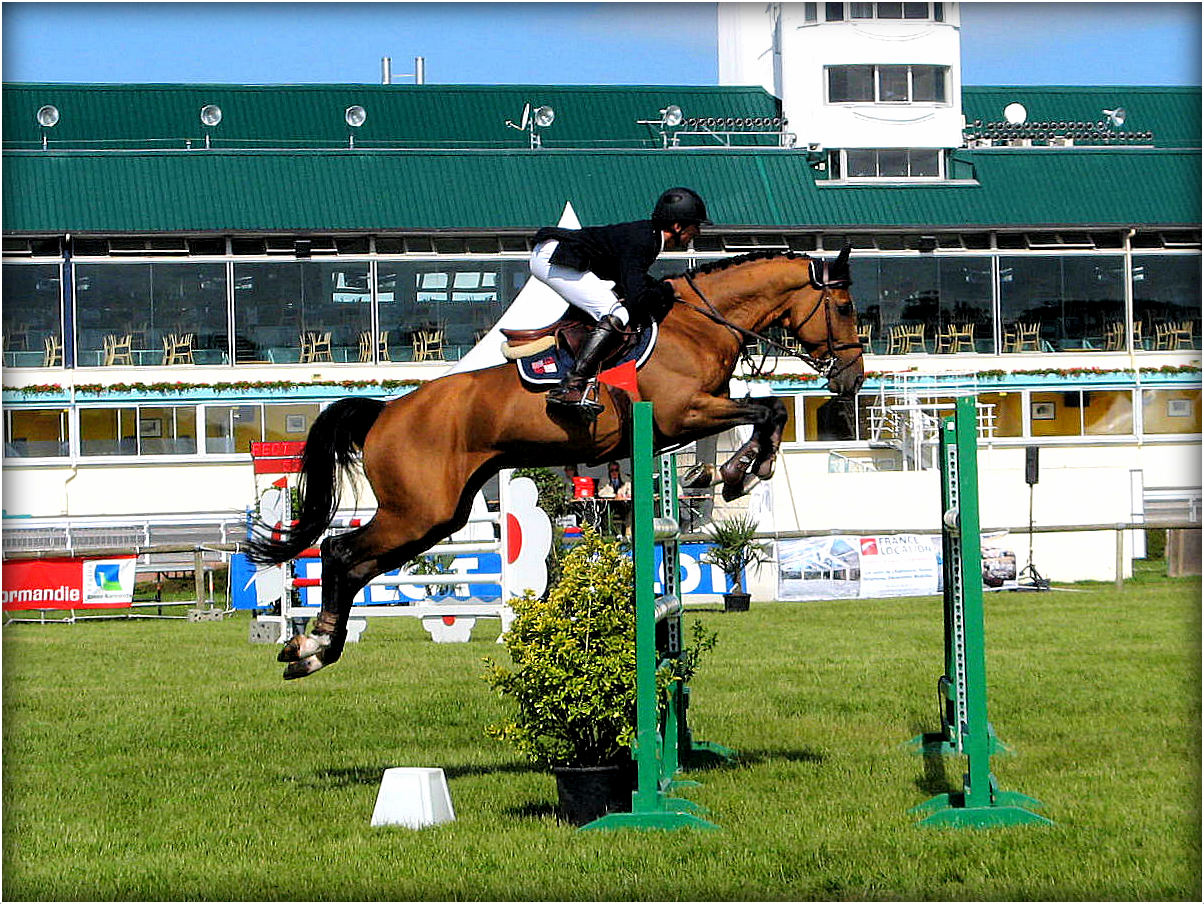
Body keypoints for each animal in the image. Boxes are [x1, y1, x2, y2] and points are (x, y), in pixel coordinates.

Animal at [249, 247, 862, 678]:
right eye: (845, 307)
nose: (853, 379)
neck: (699, 324)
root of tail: (387, 410)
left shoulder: (696, 412)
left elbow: (768, 409)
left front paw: (726, 472)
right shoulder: (683, 412)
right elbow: (769, 408)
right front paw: (735, 474)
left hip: (437, 516)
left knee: (354, 564)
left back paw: (311, 649)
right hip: (417, 511)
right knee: (338, 552)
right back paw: (312, 646)